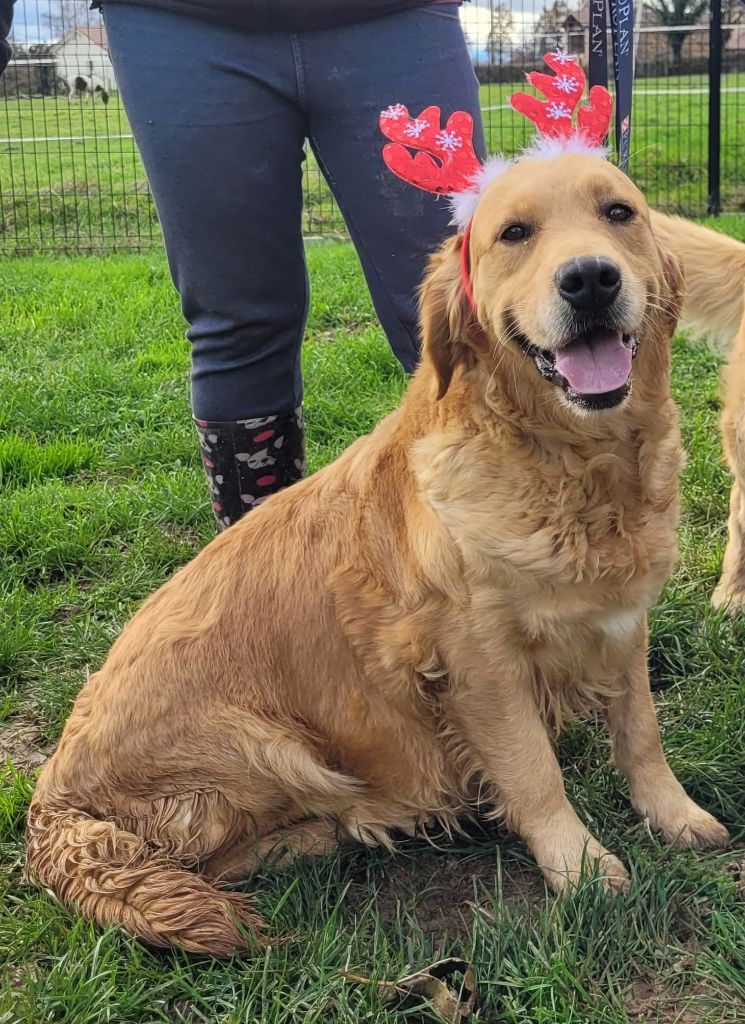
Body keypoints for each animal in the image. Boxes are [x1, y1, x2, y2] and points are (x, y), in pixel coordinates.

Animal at [27, 149, 732, 950]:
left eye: (619, 213)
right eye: (514, 233)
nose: (589, 278)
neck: (573, 466)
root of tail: (49, 796)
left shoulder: (621, 623)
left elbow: (641, 732)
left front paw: (674, 815)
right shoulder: (477, 665)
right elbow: (534, 772)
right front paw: (578, 866)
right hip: (266, 746)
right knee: (206, 856)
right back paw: (339, 829)